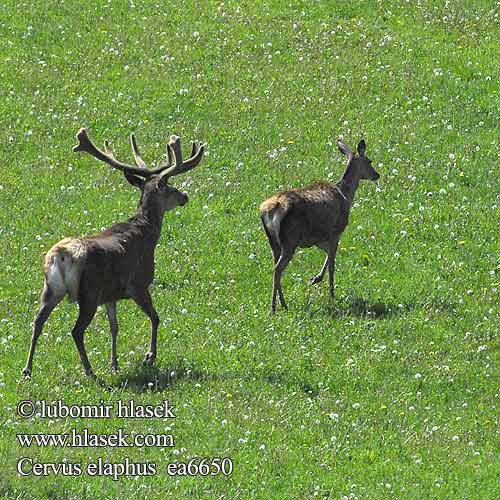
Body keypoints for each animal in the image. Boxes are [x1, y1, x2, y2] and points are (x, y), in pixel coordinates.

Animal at [21, 127, 205, 376]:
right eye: (170, 187)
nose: (185, 196)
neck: (147, 232)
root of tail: (61, 255)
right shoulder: (138, 284)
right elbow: (155, 318)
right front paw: (149, 356)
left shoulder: (110, 296)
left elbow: (114, 327)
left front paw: (114, 364)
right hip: (88, 293)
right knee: (76, 331)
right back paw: (89, 371)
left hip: (50, 289)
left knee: (37, 322)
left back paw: (27, 369)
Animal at [258, 138, 378, 312]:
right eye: (369, 161)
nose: (377, 174)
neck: (346, 195)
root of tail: (270, 209)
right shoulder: (336, 230)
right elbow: (332, 264)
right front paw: (332, 295)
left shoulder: (318, 238)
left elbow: (327, 256)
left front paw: (315, 279)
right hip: (290, 239)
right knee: (278, 268)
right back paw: (274, 307)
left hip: (273, 241)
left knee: (275, 266)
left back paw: (283, 304)